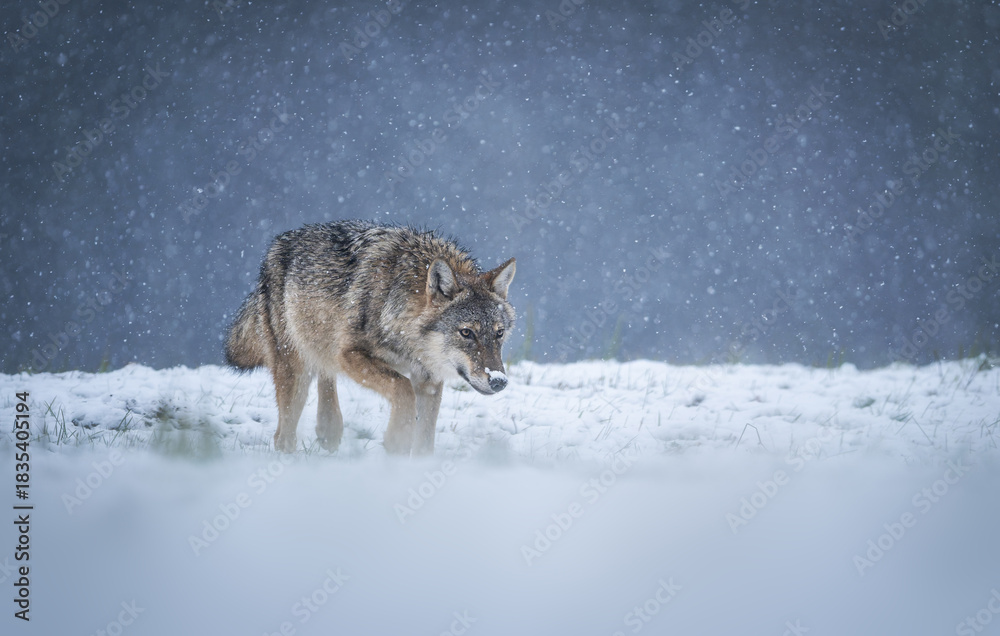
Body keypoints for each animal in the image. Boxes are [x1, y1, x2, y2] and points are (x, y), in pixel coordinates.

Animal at [225, 220, 516, 455]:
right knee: (283, 435)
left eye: (499, 333)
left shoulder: (429, 381)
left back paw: (329, 431)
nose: (499, 381)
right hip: (295, 370)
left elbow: (425, 441)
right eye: (466, 332)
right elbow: (402, 389)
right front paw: (397, 440)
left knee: (325, 376)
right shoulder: (350, 355)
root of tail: (278, 243)